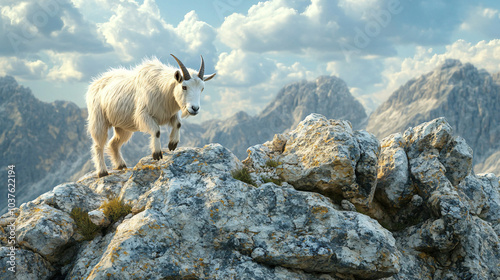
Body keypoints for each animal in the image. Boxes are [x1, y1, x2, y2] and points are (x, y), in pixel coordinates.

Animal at [86, 54, 215, 177]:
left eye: (202, 88)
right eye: (184, 87)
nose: (195, 108)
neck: (163, 89)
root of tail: (93, 85)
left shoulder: (170, 114)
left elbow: (178, 124)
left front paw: (172, 144)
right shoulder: (143, 115)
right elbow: (156, 131)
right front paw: (157, 154)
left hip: (123, 126)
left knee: (113, 143)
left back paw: (121, 165)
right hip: (99, 120)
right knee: (98, 145)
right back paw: (102, 172)